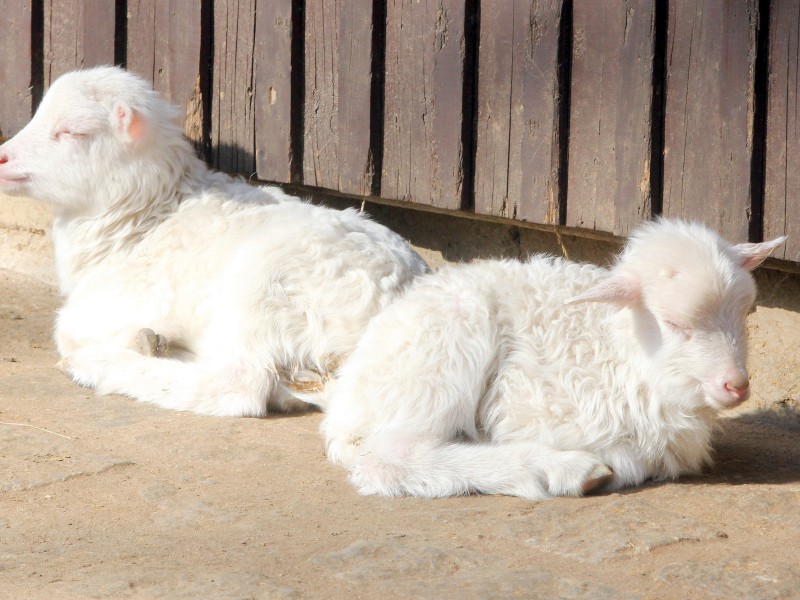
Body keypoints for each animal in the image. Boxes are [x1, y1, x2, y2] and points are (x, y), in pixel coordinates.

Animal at [0, 65, 428, 412]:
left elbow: (66, 329)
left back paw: (102, 364)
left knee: (241, 386)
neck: (146, 216)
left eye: (72, 132)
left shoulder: (136, 293)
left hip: (269, 286)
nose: (1, 157)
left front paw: (131, 341)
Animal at [322, 219, 784, 496]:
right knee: (389, 456)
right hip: (443, 353)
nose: (736, 385)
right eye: (672, 323)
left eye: (745, 313)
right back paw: (562, 469)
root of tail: (344, 405)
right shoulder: (527, 406)